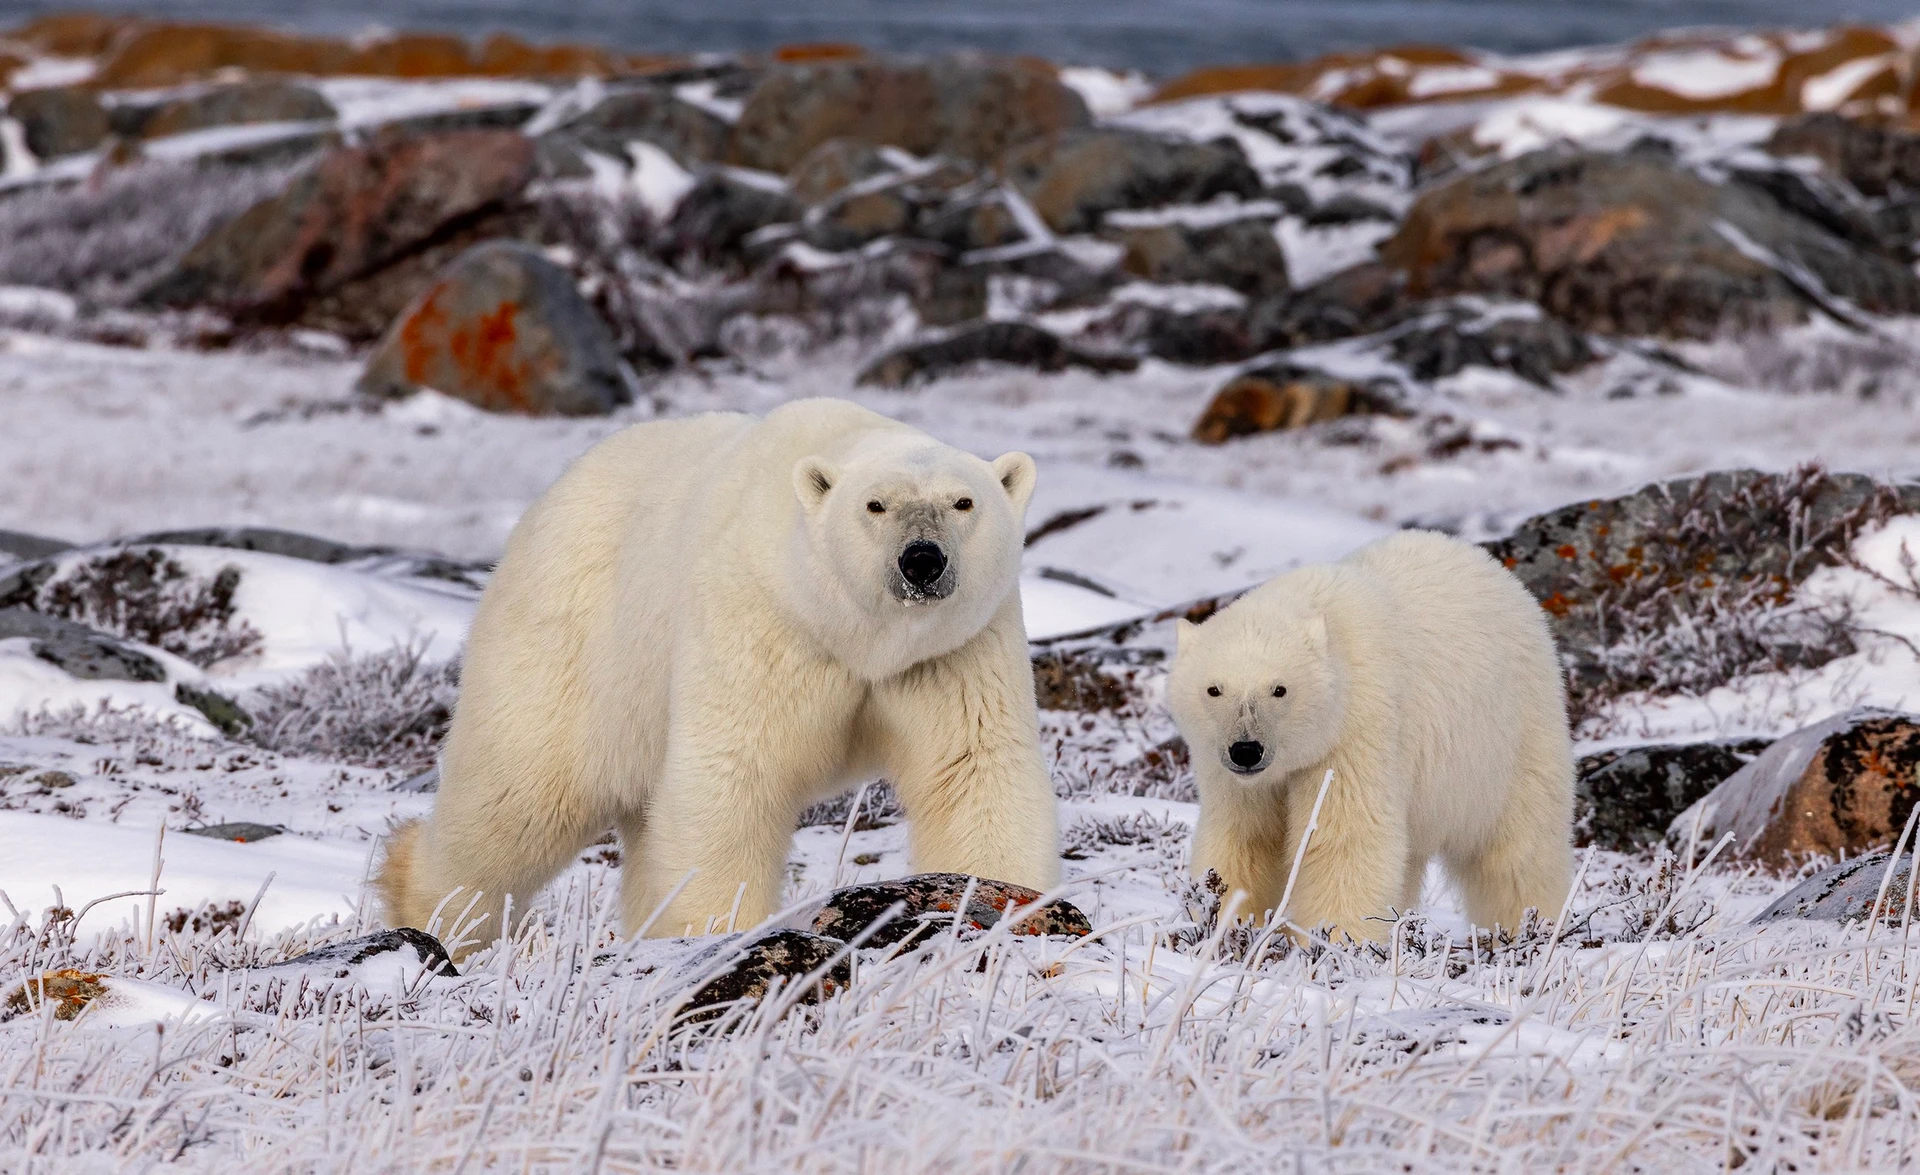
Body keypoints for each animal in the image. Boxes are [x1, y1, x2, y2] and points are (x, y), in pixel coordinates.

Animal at [377, 398, 1060, 948]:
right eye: (876, 505)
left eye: (963, 501)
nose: (922, 560)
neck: (853, 636)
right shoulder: (760, 622)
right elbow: (734, 775)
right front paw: (719, 930)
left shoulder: (954, 654)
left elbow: (974, 770)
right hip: (573, 645)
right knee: (517, 795)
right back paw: (436, 914)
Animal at [1167, 530, 1573, 943]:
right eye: (1214, 689)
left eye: (1279, 689)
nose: (1246, 750)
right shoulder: (1232, 775)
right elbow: (1244, 838)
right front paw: (1220, 925)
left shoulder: (1356, 729)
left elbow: (1345, 839)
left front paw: (1335, 941)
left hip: (1513, 737)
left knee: (1520, 851)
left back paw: (1532, 928)